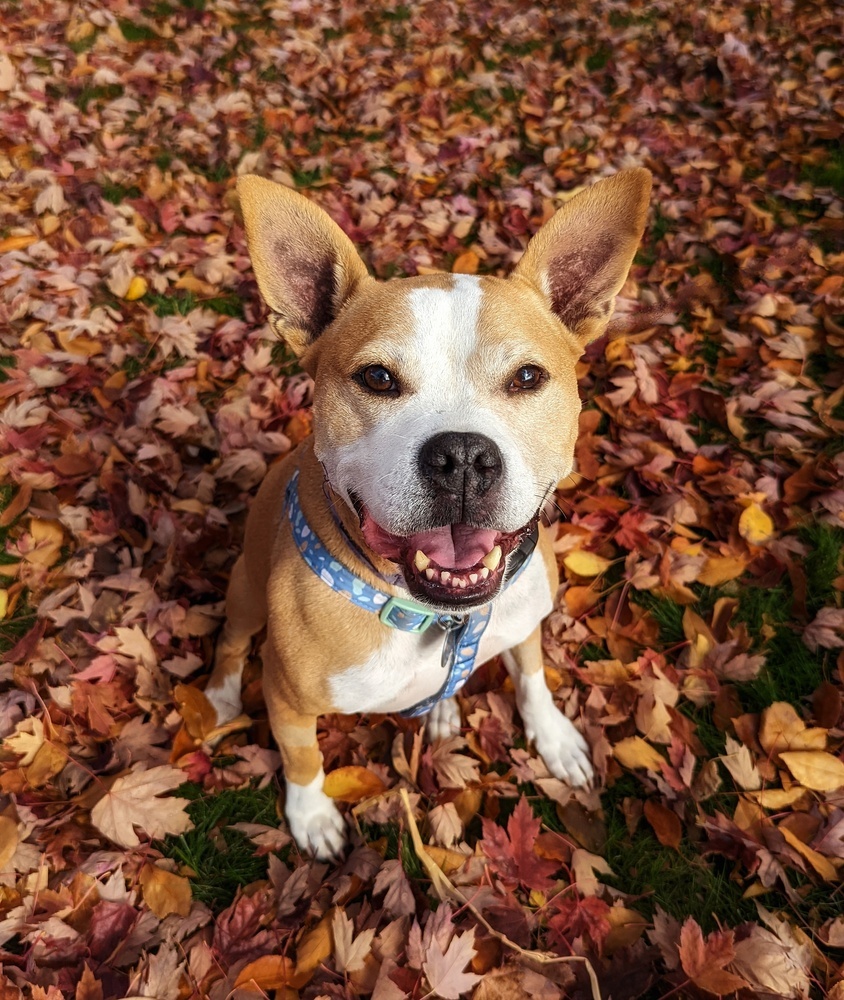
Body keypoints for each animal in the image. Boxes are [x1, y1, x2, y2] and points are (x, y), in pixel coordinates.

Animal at [206, 168, 652, 856]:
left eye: (528, 377)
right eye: (377, 378)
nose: (463, 456)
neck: (436, 618)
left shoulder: (524, 622)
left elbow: (532, 676)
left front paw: (552, 736)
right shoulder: (285, 699)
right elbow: (303, 759)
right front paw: (311, 816)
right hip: (246, 591)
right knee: (231, 641)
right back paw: (222, 697)